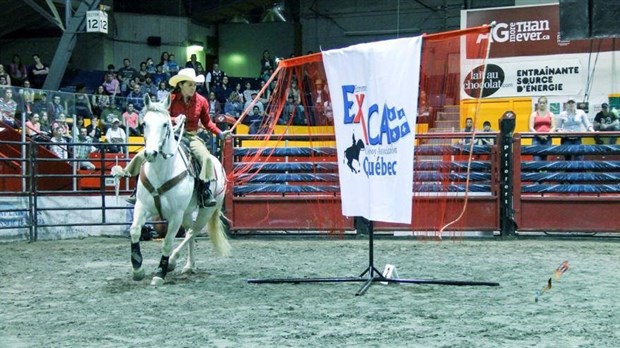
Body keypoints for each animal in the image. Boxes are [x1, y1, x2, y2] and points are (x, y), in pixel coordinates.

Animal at [126, 94, 230, 286]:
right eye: (144, 123)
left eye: (165, 124)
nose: (150, 153)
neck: (161, 172)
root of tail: (219, 165)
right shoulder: (142, 206)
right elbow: (135, 230)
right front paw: (137, 269)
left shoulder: (175, 215)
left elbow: (167, 242)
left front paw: (160, 272)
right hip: (188, 213)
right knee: (190, 232)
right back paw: (189, 265)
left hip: (206, 211)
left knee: (193, 231)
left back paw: (173, 261)